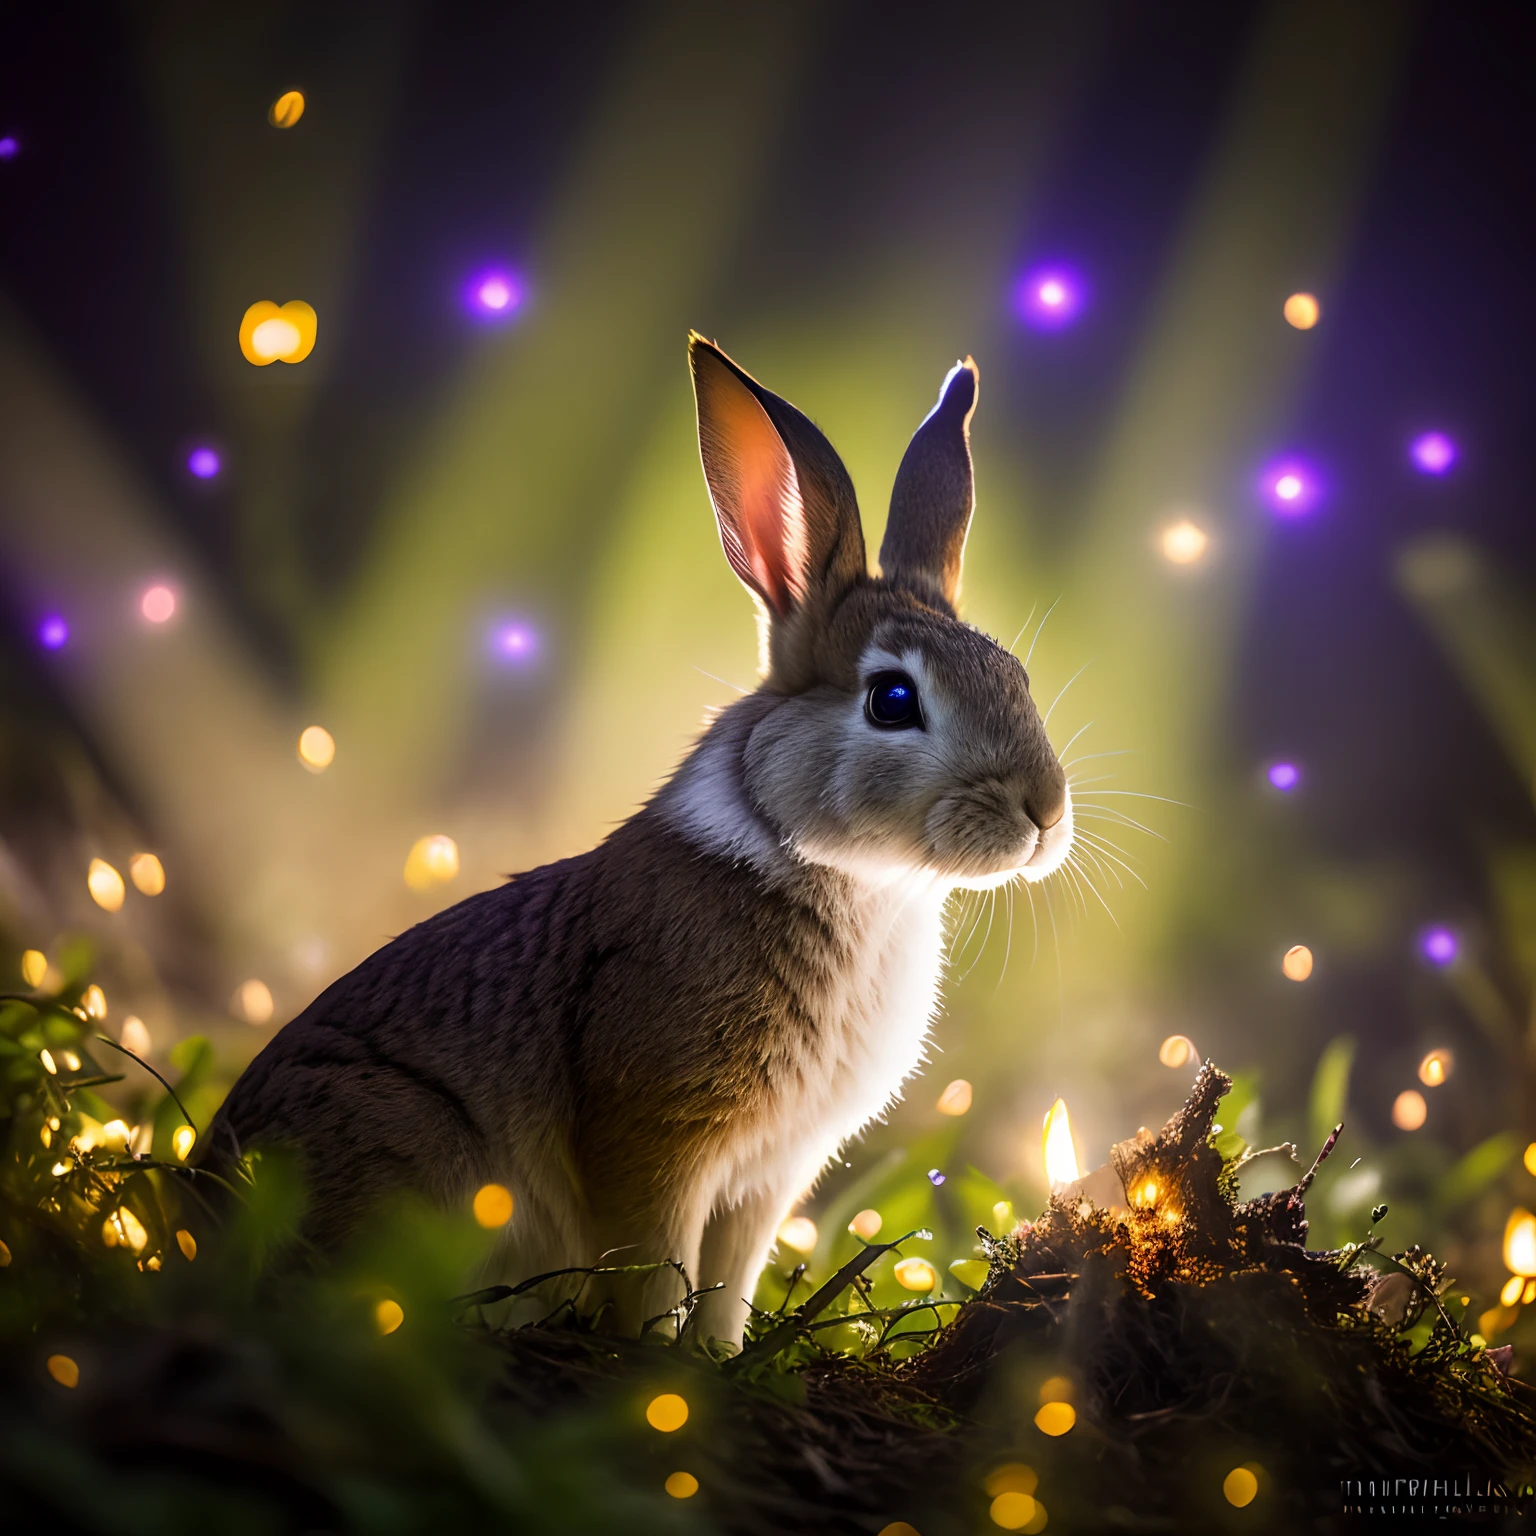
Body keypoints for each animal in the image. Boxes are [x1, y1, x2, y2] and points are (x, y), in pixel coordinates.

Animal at [201, 336, 1069, 1345]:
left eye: (1015, 673)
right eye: (892, 700)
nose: (1045, 810)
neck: (832, 866)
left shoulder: (766, 1179)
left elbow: (726, 1283)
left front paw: (717, 1360)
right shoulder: (654, 1139)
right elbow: (655, 1269)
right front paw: (653, 1365)